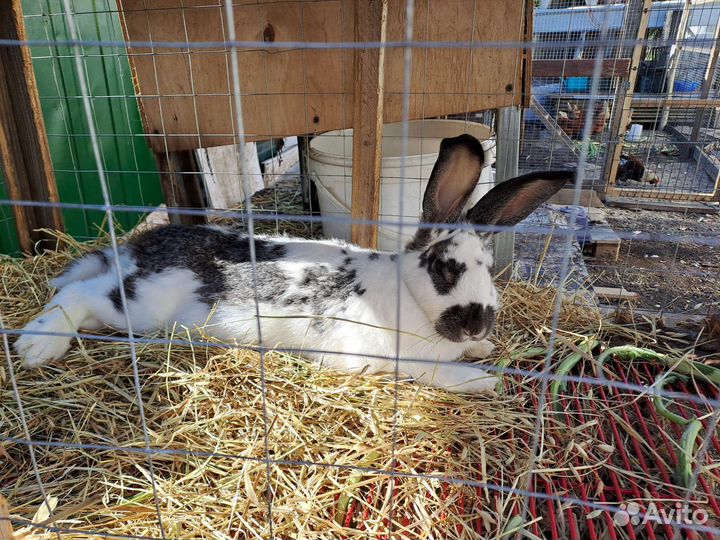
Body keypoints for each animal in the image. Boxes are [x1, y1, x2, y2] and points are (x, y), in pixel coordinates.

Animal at [15, 134, 573, 393]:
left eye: (488, 269)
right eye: (443, 268)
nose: (478, 323)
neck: (409, 298)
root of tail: (135, 250)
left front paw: (485, 350)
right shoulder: (382, 359)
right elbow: (433, 375)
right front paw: (484, 381)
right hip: (139, 306)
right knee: (74, 296)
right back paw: (36, 346)